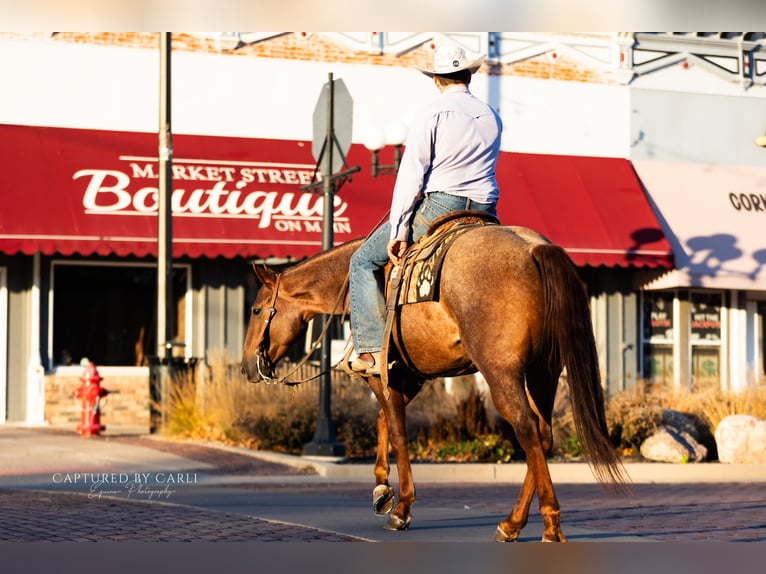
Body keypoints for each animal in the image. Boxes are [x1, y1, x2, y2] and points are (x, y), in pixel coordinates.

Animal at [240, 221, 626, 542]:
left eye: (256, 310)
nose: (246, 368)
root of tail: (533, 249)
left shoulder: (385, 374)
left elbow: (397, 431)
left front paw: (401, 507)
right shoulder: (409, 375)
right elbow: (383, 421)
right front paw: (381, 490)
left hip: (502, 372)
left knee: (526, 429)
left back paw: (547, 525)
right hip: (543, 372)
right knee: (543, 435)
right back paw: (513, 523)